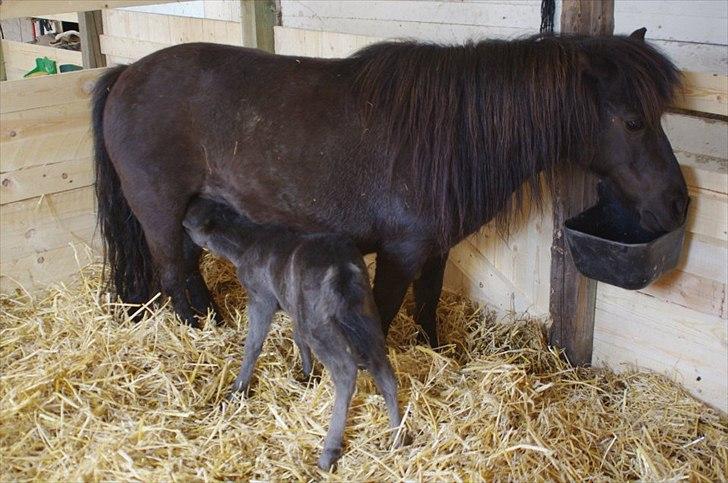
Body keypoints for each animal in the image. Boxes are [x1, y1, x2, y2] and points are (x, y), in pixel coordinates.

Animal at [92, 28, 688, 346]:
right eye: (633, 121)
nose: (678, 203)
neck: (451, 133)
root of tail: (126, 73)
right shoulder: (400, 253)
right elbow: (383, 315)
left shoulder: (435, 250)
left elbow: (426, 305)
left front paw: (439, 354)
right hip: (161, 216)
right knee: (175, 277)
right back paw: (201, 334)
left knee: (188, 276)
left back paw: (213, 325)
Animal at [180, 197, 400, 468]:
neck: (244, 244)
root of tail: (343, 270)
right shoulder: (294, 305)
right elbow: (298, 337)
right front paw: (307, 374)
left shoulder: (261, 299)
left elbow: (253, 345)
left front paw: (237, 389)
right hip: (364, 316)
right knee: (383, 370)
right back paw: (397, 438)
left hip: (320, 325)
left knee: (346, 370)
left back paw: (329, 452)